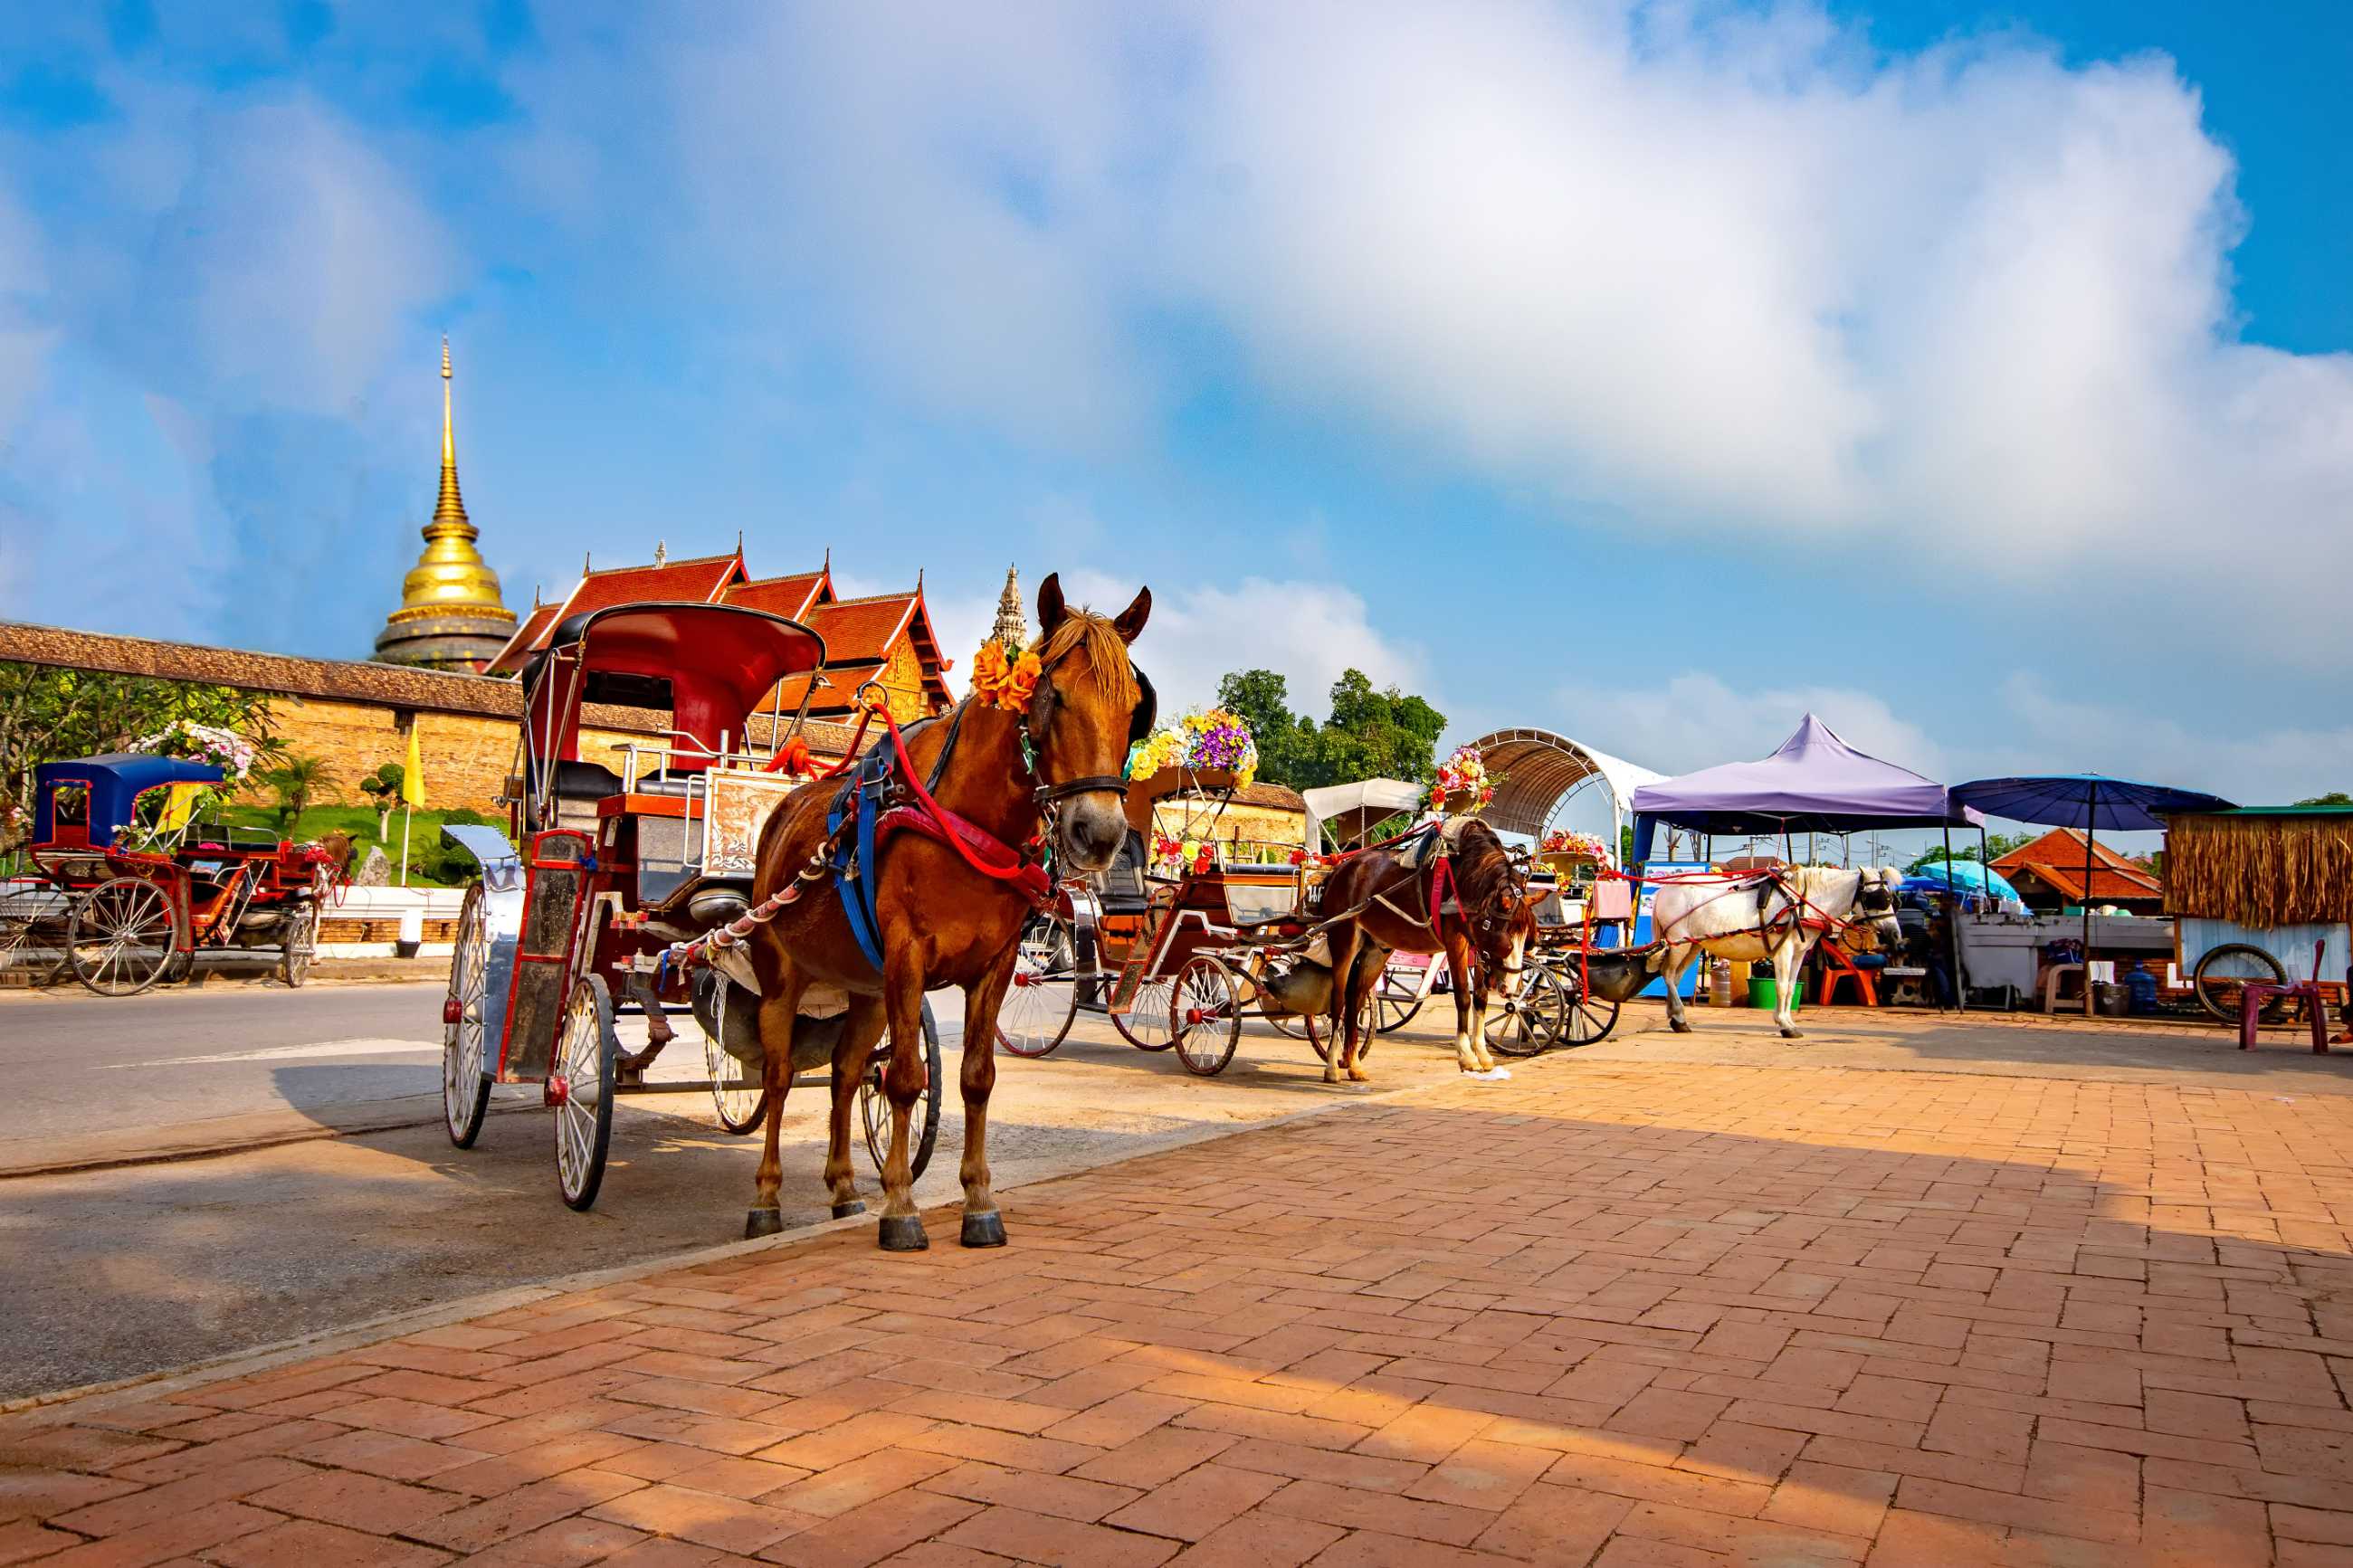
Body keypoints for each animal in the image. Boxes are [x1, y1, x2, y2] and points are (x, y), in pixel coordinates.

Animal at [734, 575, 1138, 1250]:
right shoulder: (906, 954)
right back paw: (765, 1196)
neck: (970, 817)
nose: (1100, 833)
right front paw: (901, 1205)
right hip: (780, 968)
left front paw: (978, 1201)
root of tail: (785, 807)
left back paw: (843, 1187)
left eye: (1135, 707)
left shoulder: (997, 963)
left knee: (845, 1071)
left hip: (865, 985)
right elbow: (904, 1078)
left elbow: (976, 1076)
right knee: (780, 1074)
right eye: (1052, 695)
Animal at [1318, 818, 1534, 1086]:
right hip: (1343, 941)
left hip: (1376, 949)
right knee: (1338, 1001)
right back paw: (1331, 1066)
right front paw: (1466, 1056)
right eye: (1506, 939)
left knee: (1355, 999)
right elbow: (1463, 997)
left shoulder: (1476, 943)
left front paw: (1482, 1054)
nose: (1511, 986)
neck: (1466, 875)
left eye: (1527, 940)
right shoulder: (1456, 940)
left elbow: (1481, 999)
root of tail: (1340, 870)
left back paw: (1354, 1063)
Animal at [1646, 865, 1900, 1034]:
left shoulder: (1798, 953)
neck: (1799, 903)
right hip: (1679, 942)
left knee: (1675, 977)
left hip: (1693, 945)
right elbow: (1781, 986)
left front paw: (1789, 1022)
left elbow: (1791, 988)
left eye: (1892, 899)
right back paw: (1678, 1017)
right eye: (1878, 898)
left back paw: (1677, 1017)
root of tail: (1663, 891)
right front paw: (1784, 1024)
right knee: (1668, 974)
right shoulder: (1783, 951)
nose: (1895, 934)